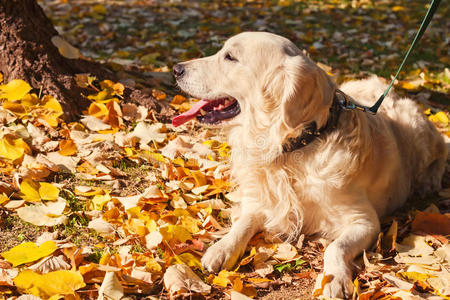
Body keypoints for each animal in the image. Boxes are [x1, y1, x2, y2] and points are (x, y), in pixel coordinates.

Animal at [171, 31, 444, 298]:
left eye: (229, 57)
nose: (176, 69)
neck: (293, 147)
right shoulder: (261, 201)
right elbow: (243, 223)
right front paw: (221, 249)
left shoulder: (365, 221)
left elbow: (334, 247)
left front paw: (332, 280)